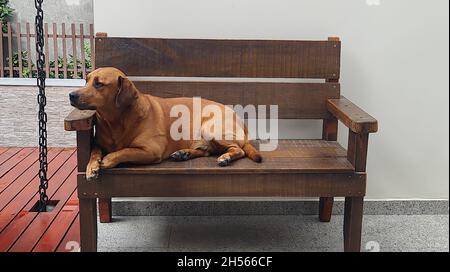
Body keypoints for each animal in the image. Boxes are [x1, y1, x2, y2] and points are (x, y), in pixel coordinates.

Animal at [68, 67, 262, 181]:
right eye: (86, 80)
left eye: (99, 84)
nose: (71, 95)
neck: (116, 121)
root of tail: (239, 118)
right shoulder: (98, 143)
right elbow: (94, 151)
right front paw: (91, 166)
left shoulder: (151, 151)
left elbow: (125, 151)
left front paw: (109, 159)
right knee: (208, 151)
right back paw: (184, 153)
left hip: (210, 129)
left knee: (238, 150)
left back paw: (226, 157)